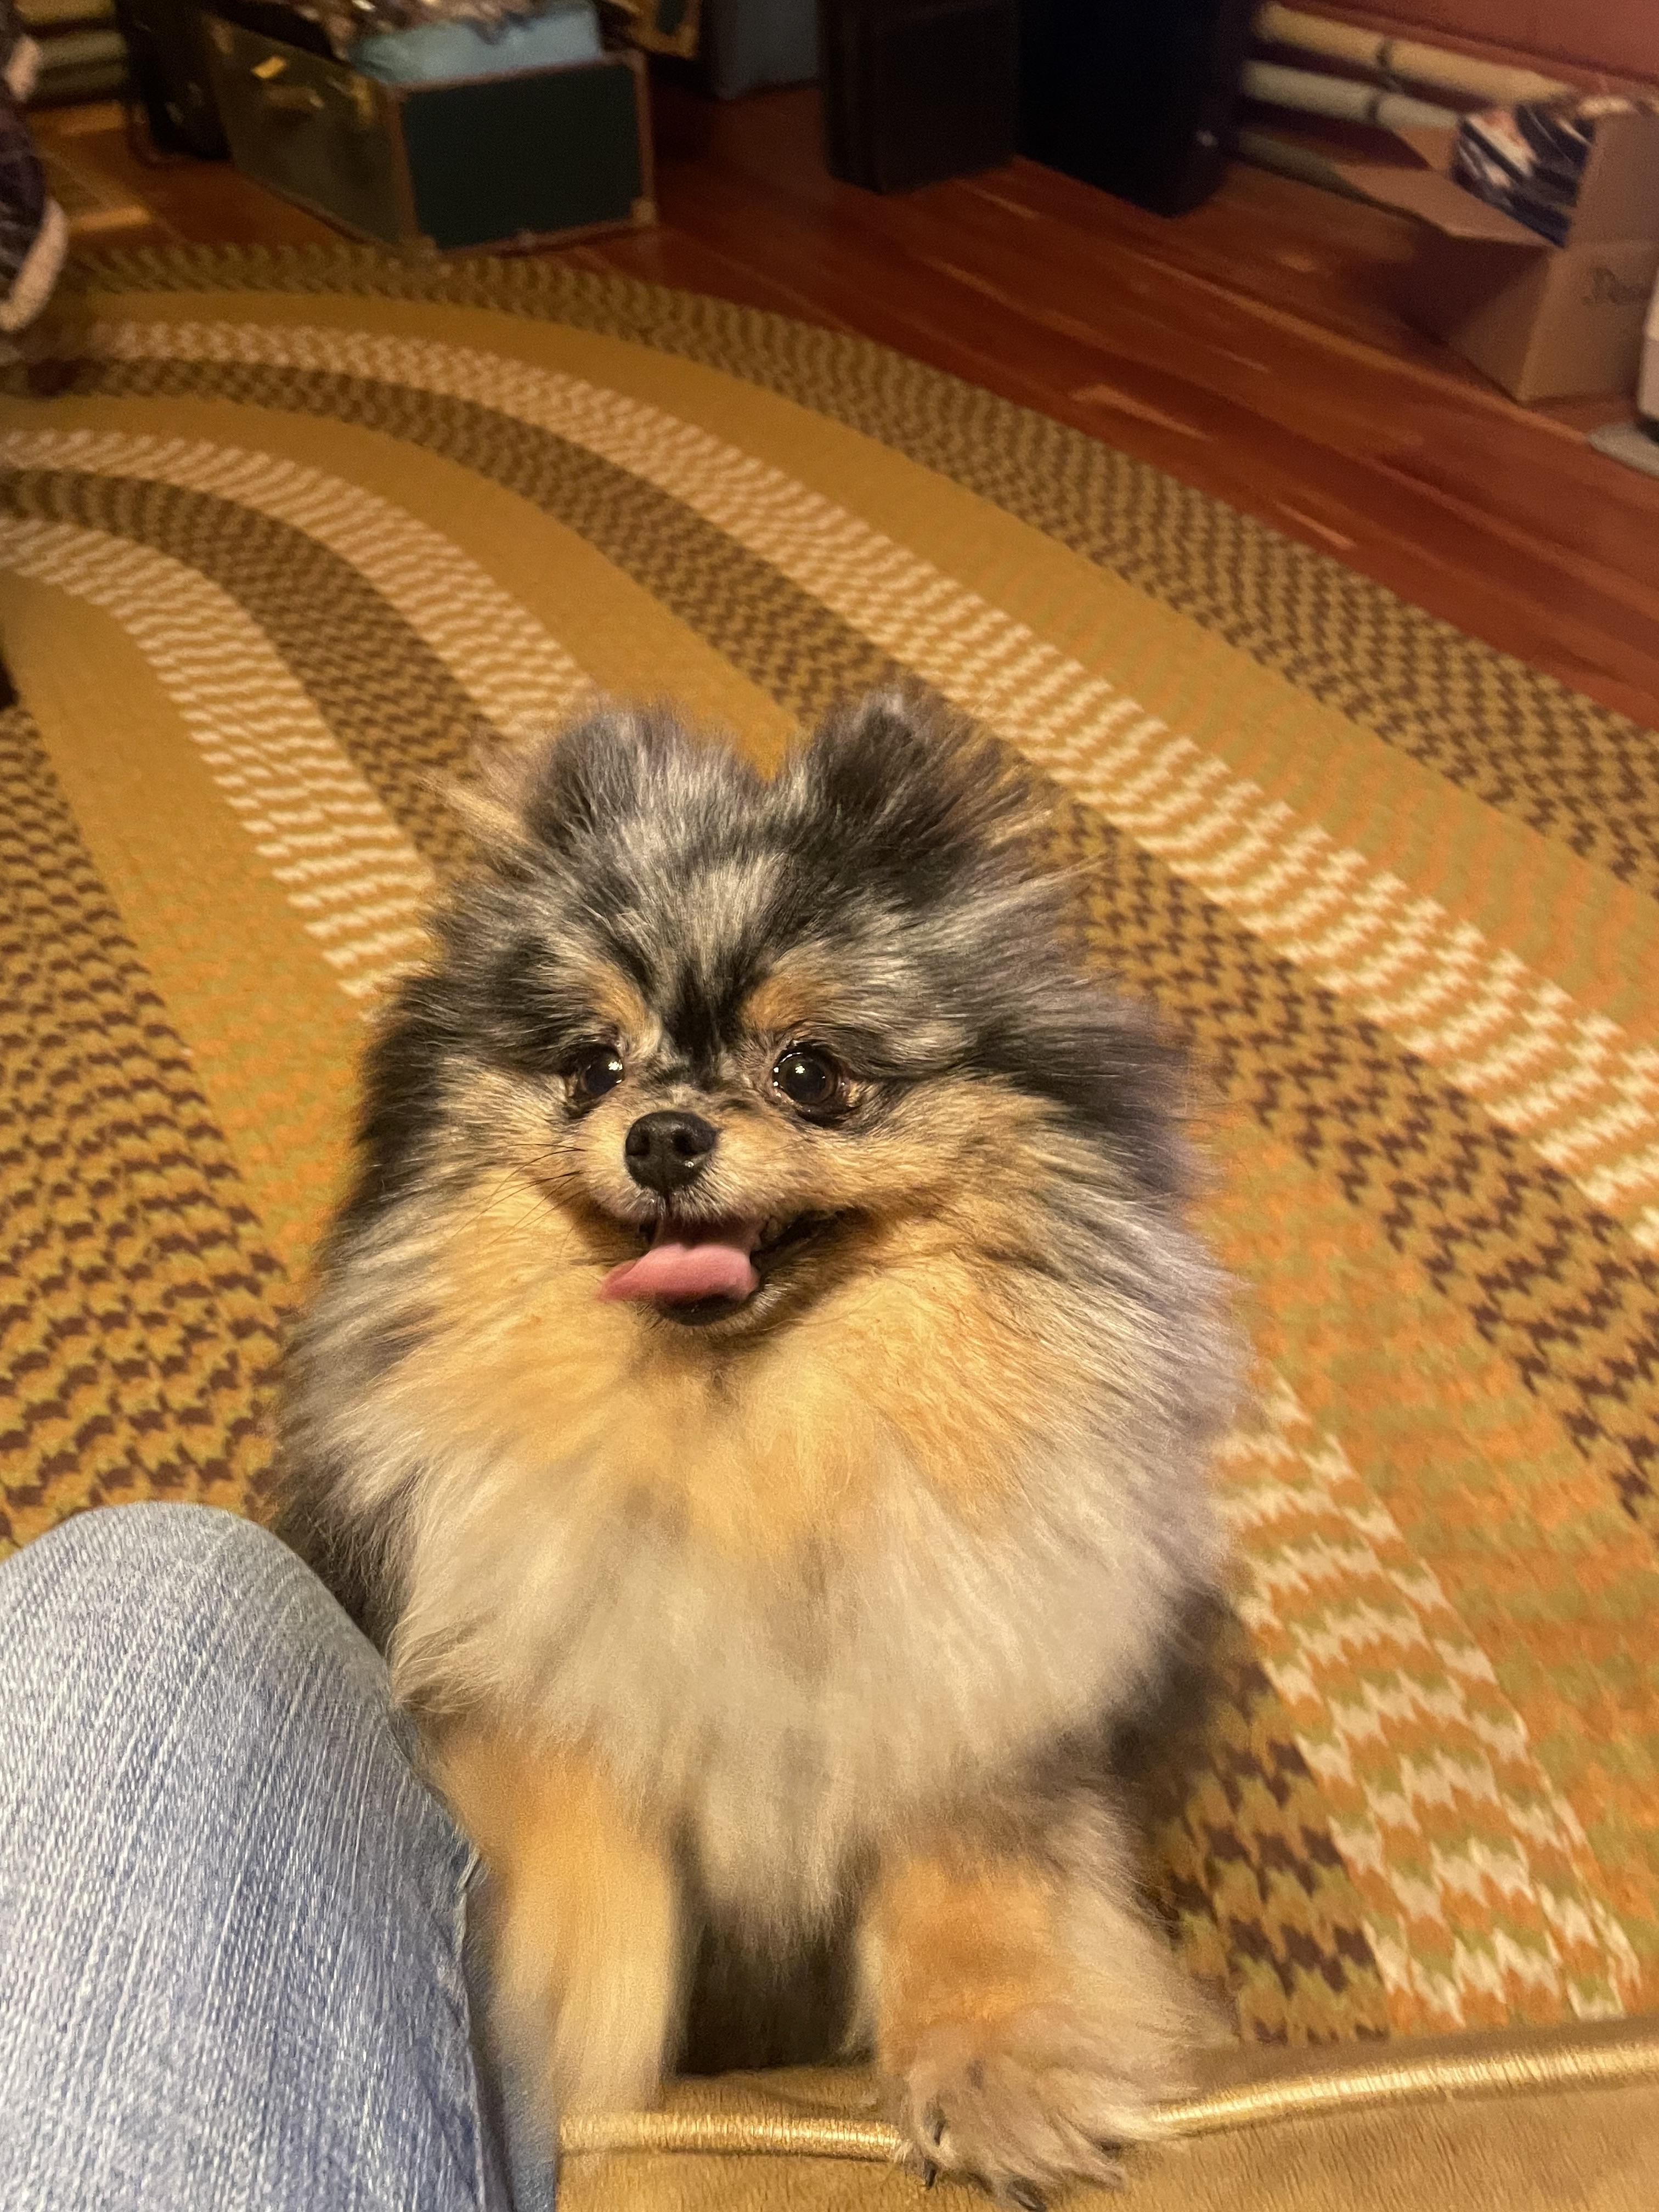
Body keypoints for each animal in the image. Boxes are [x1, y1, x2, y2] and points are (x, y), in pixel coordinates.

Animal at [275, 694, 1237, 2201]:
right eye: (591, 1069)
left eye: (812, 1074)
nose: (663, 1133)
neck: (746, 1444)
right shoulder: (515, 1630)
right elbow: (570, 1788)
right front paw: (573, 1991)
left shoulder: (974, 1673)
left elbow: (984, 1871)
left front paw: (997, 2062)